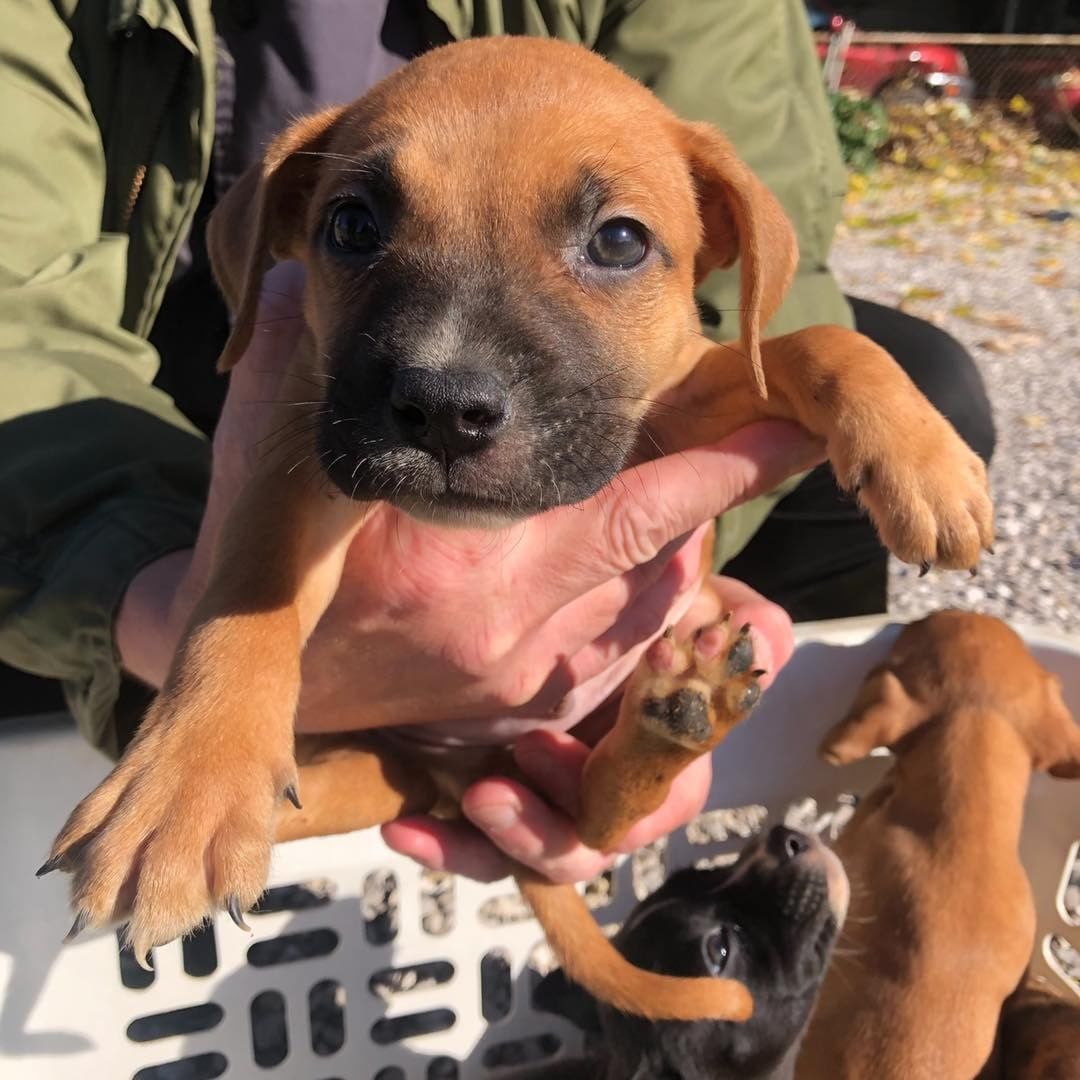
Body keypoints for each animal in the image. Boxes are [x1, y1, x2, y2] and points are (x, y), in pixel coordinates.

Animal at [38, 39, 989, 1019]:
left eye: (619, 241)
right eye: (351, 227)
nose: (443, 408)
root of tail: (469, 776)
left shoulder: (678, 403)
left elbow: (812, 346)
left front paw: (923, 461)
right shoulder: (298, 461)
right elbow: (245, 596)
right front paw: (186, 785)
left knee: (594, 820)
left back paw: (677, 718)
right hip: (362, 778)